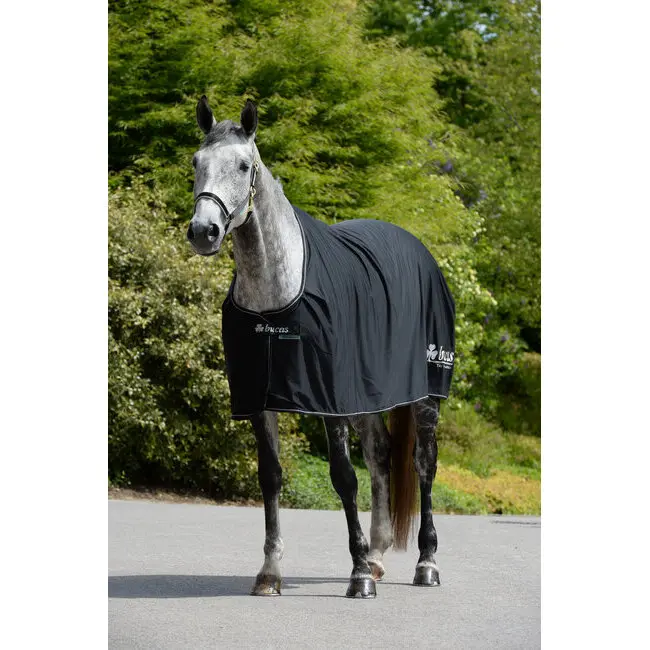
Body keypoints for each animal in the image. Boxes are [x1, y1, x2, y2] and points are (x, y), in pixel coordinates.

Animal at [186, 97, 455, 599]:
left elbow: (343, 478)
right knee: (382, 456)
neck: (278, 293)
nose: (203, 232)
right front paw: (270, 573)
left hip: (427, 393)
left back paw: (424, 564)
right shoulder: (261, 398)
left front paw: (357, 576)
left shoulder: (330, 399)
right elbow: (271, 477)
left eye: (244, 165)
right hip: (369, 394)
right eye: (196, 162)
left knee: (423, 464)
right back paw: (378, 556)